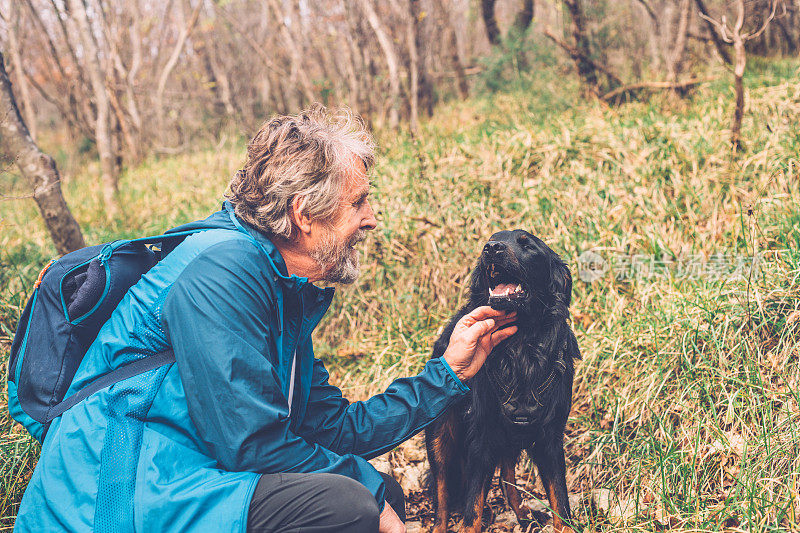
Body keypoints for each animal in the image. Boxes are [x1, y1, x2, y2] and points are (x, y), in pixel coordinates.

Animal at [424, 229, 580, 532]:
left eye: (527, 244)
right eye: (490, 240)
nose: (491, 248)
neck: (521, 346)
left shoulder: (550, 439)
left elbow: (561, 503)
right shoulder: (481, 437)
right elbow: (472, 510)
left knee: (507, 476)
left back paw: (522, 515)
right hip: (440, 438)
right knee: (442, 497)